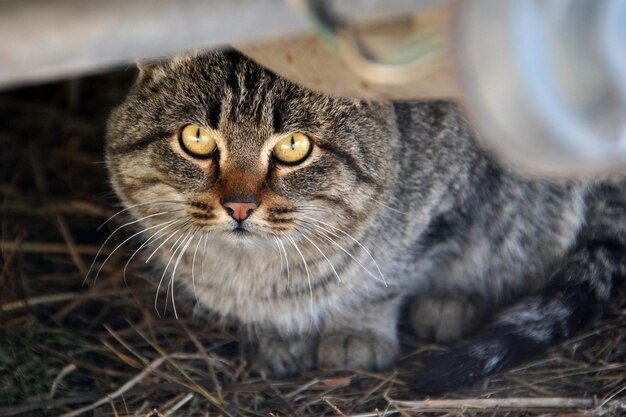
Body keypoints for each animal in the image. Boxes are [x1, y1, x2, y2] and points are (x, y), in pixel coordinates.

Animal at [105, 50, 620, 392]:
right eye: (196, 138)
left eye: (294, 146)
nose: (239, 206)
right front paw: (277, 336)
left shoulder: (444, 200)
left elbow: (385, 281)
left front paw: (357, 331)